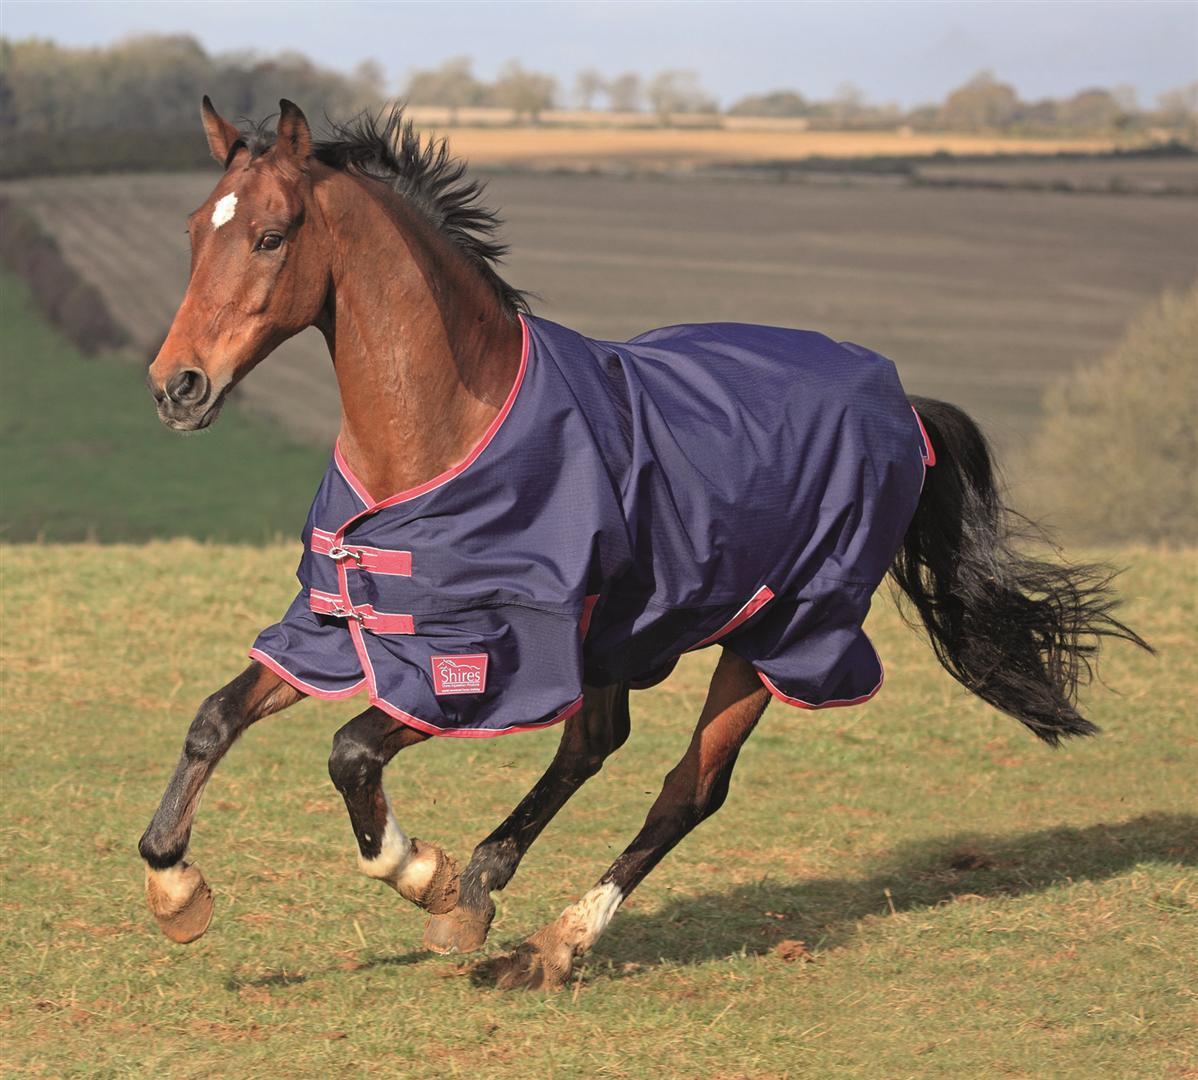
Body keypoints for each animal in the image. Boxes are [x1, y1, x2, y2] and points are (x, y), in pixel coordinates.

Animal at [140, 99, 1148, 990]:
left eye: (271, 236)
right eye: (191, 230)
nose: (176, 386)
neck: (445, 428)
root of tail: (901, 405)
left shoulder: (494, 656)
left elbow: (350, 749)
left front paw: (422, 872)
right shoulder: (336, 619)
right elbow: (215, 717)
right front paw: (174, 885)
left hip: (781, 631)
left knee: (688, 788)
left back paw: (552, 942)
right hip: (630, 631)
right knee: (597, 743)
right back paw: (486, 894)